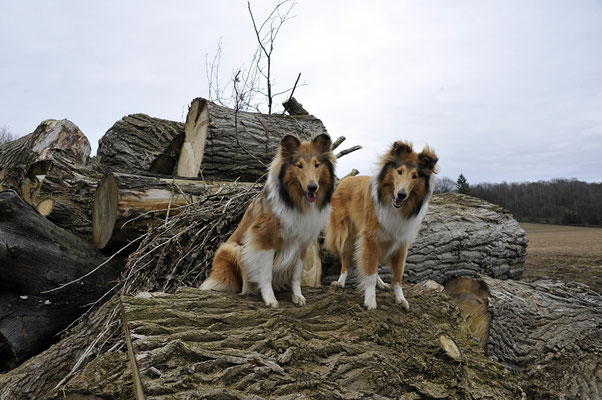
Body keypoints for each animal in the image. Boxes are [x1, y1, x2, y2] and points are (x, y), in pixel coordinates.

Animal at [200, 134, 332, 306]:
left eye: (317, 165)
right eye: (299, 165)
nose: (312, 187)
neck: (296, 202)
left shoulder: (302, 242)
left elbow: (296, 275)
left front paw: (297, 296)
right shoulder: (264, 239)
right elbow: (266, 274)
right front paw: (270, 299)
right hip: (232, 249)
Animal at [324, 141, 436, 310]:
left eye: (415, 176)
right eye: (399, 171)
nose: (401, 195)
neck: (393, 204)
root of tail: (345, 180)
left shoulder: (401, 243)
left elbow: (397, 276)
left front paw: (400, 298)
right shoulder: (371, 238)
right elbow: (369, 272)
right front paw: (370, 300)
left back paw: (381, 284)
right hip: (346, 235)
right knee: (347, 260)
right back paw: (340, 281)